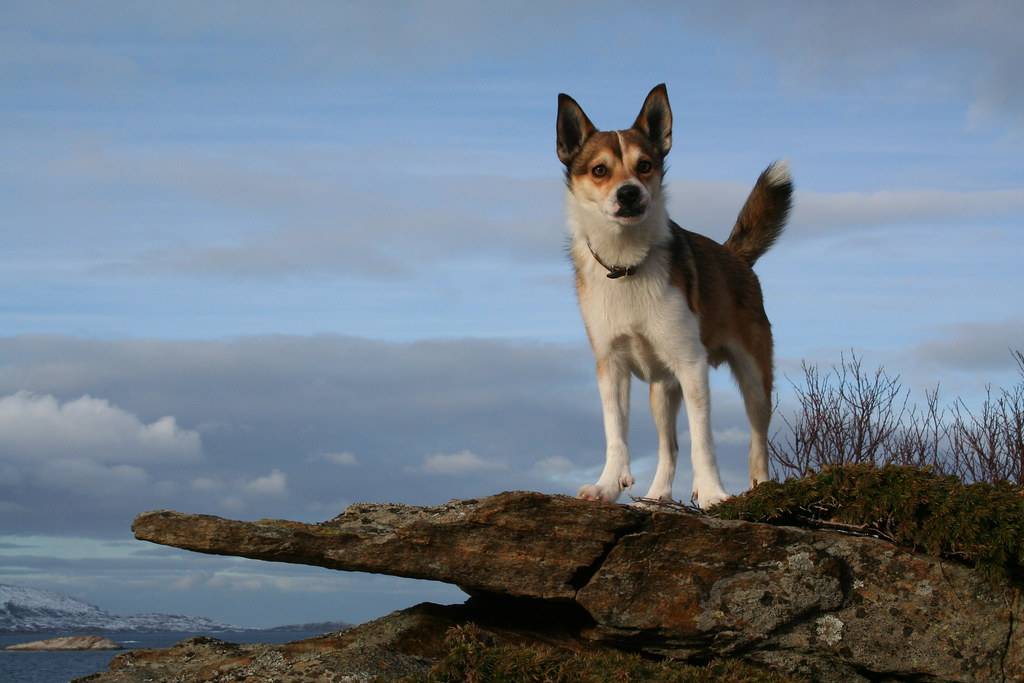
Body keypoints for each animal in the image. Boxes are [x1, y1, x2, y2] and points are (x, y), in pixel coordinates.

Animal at [561, 82, 790, 507]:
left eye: (645, 165)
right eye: (599, 170)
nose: (629, 194)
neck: (627, 264)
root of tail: (734, 254)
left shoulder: (691, 366)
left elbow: (704, 441)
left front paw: (713, 492)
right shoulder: (611, 366)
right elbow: (616, 434)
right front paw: (607, 485)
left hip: (754, 378)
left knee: (757, 441)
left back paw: (761, 488)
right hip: (662, 391)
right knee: (669, 447)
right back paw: (657, 496)